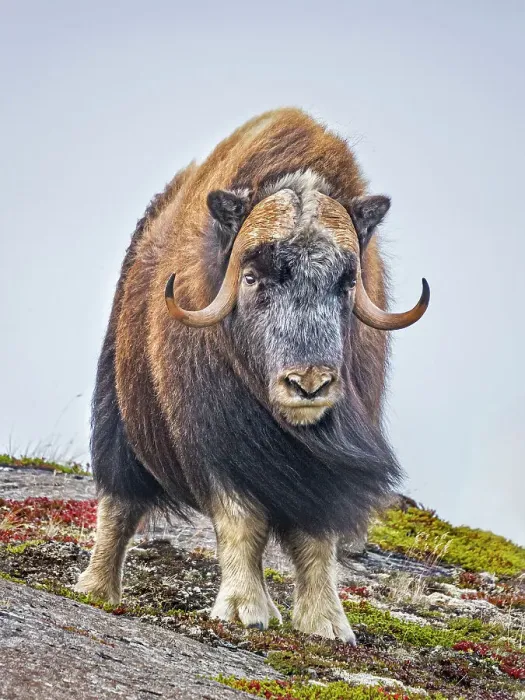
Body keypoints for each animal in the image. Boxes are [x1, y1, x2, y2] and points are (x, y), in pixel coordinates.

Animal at [76, 108, 429, 644]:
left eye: (347, 282)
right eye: (251, 278)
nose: (309, 385)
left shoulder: (324, 469)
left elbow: (316, 539)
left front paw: (327, 625)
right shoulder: (215, 446)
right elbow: (241, 523)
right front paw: (244, 610)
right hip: (117, 410)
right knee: (118, 503)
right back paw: (96, 590)